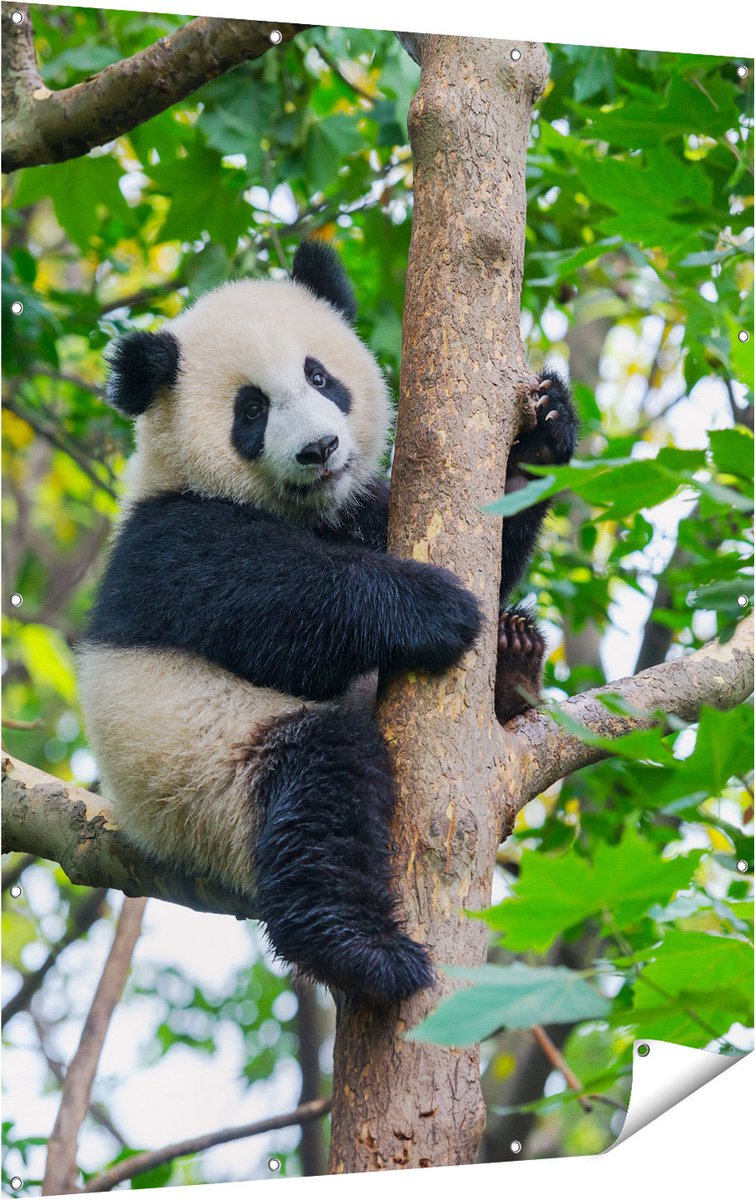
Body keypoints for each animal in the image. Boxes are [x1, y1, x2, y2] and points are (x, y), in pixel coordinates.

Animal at [77, 240, 576, 1005]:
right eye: (251, 409)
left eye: (320, 376)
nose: (318, 449)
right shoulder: (170, 541)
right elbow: (276, 609)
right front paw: (433, 607)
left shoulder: (360, 510)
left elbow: (493, 540)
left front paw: (544, 435)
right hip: (205, 776)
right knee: (318, 791)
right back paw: (364, 951)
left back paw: (514, 660)